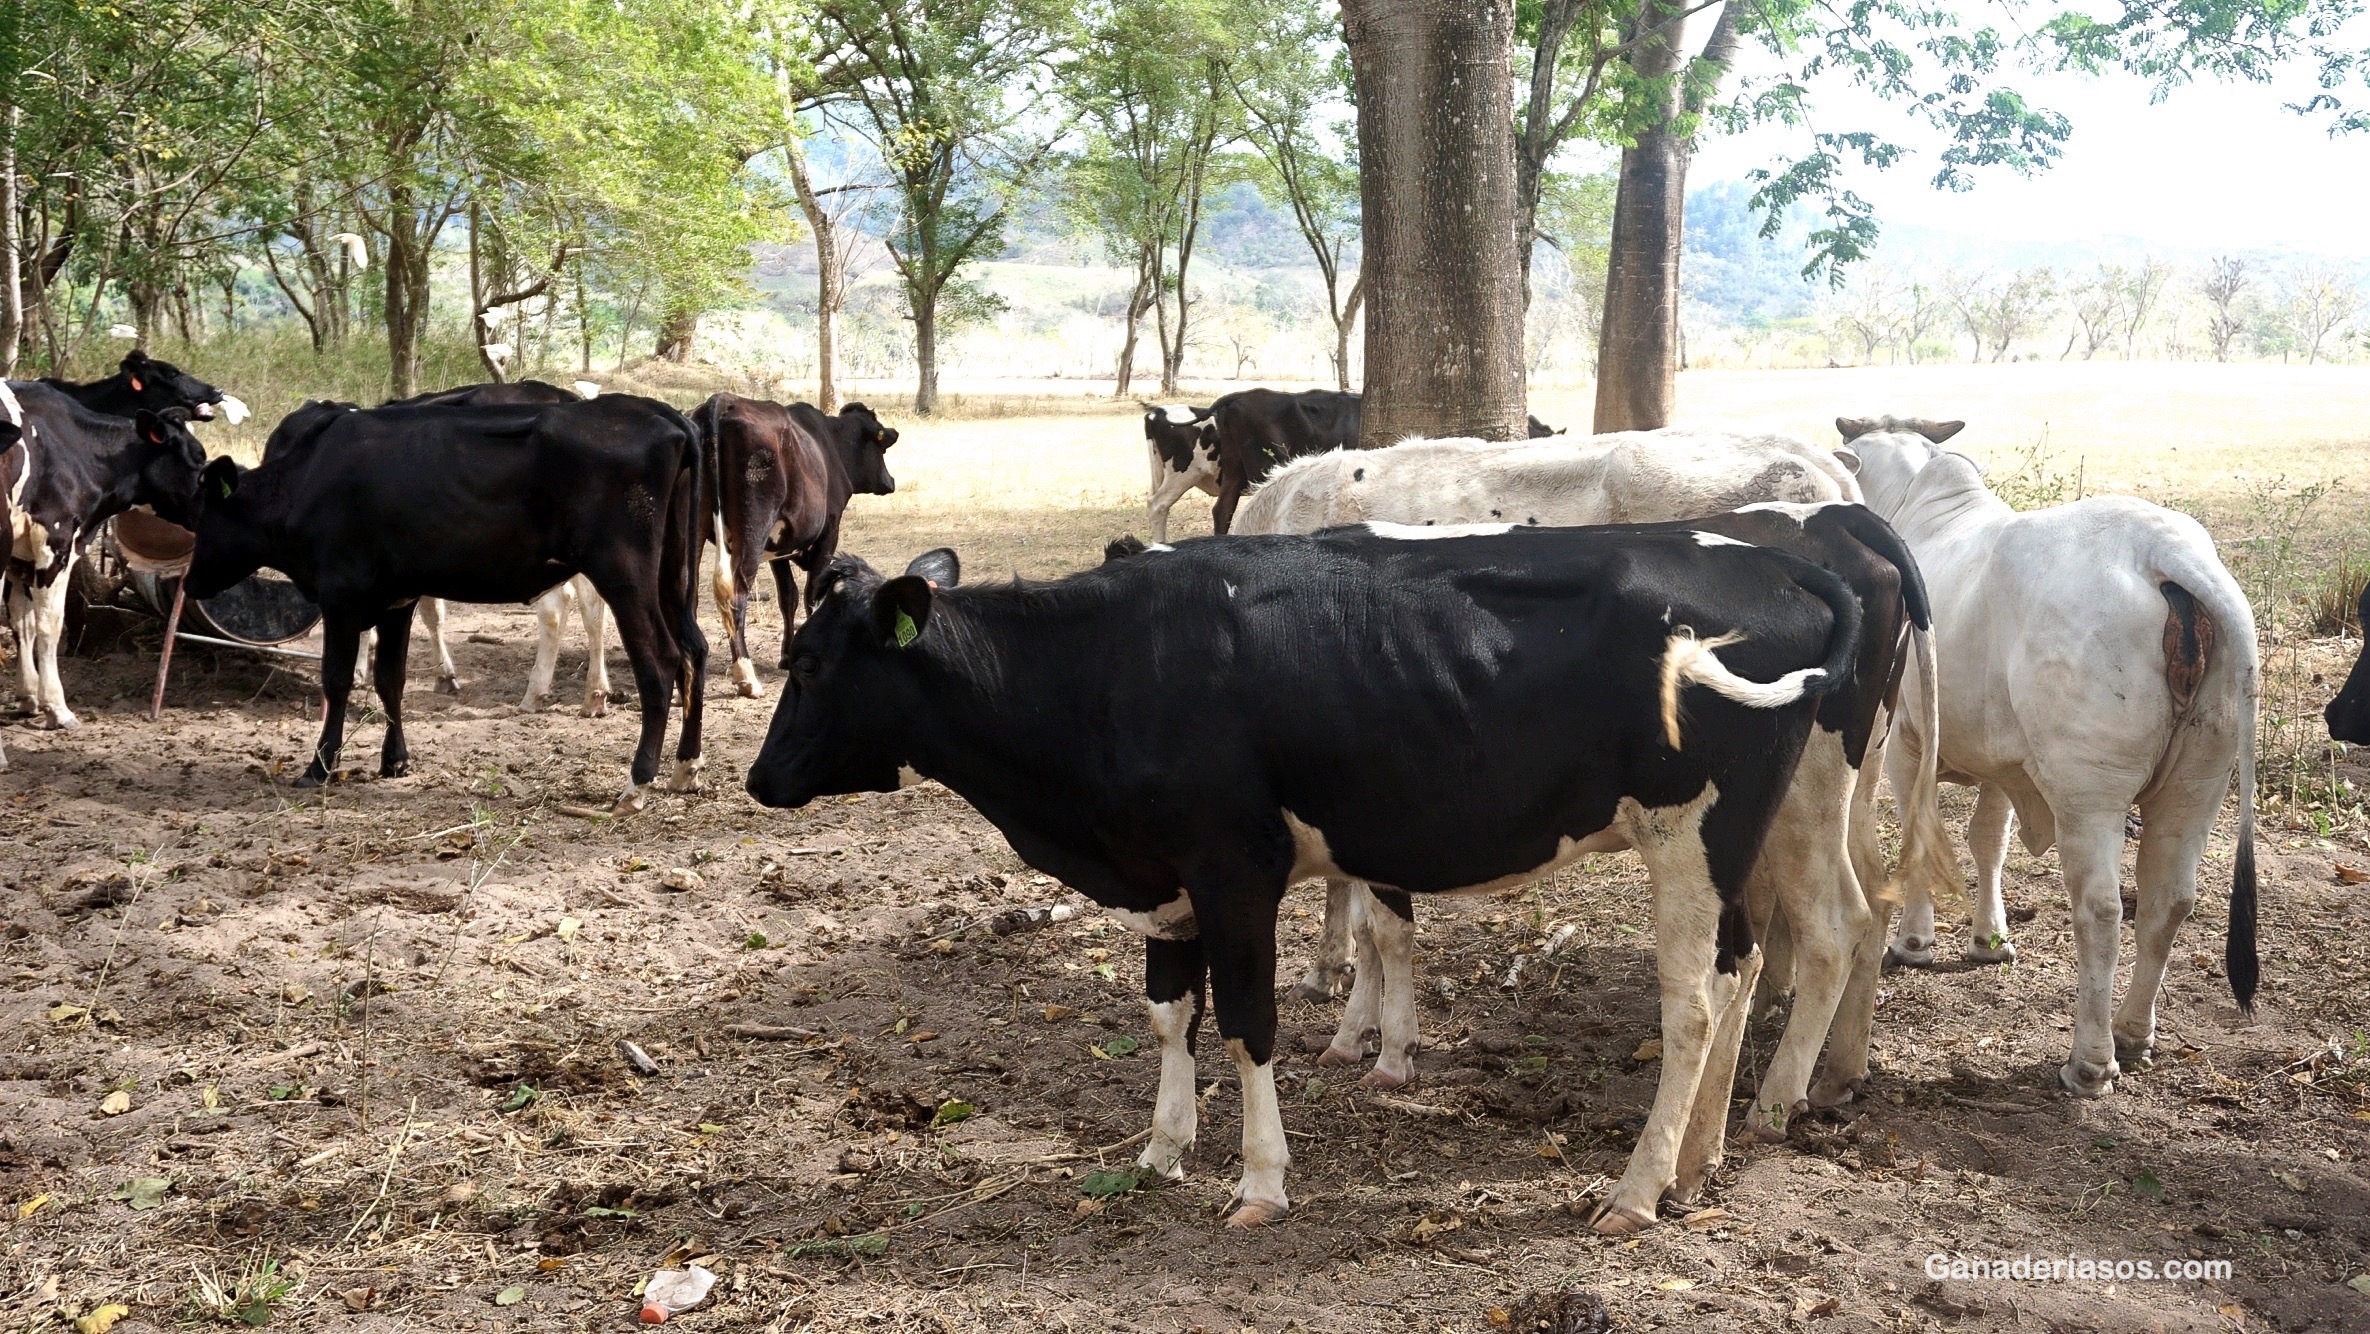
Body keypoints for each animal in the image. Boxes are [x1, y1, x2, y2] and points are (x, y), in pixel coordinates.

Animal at [188, 393, 706, 815]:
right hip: (673, 571)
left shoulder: (341, 596)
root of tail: (664, 414)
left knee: (660, 662)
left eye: (202, 517)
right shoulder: (395, 600)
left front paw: (319, 766)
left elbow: (336, 679)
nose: (190, 582)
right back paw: (686, 767)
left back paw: (637, 784)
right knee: (694, 651)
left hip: (624, 574)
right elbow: (390, 679)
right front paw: (394, 760)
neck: (308, 479)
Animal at [748, 518, 1858, 1232]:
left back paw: (1636, 1189)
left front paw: (1259, 1181)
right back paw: (1697, 1161)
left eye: (809, 664)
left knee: (1694, 1001)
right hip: (1751, 832)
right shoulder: (1165, 875)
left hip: (1691, 833)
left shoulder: (1235, 867)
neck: (1107, 666)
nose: (759, 778)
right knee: (1743, 966)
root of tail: (1776, 558)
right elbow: (1169, 1013)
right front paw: (1161, 1148)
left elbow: (1247, 1023)